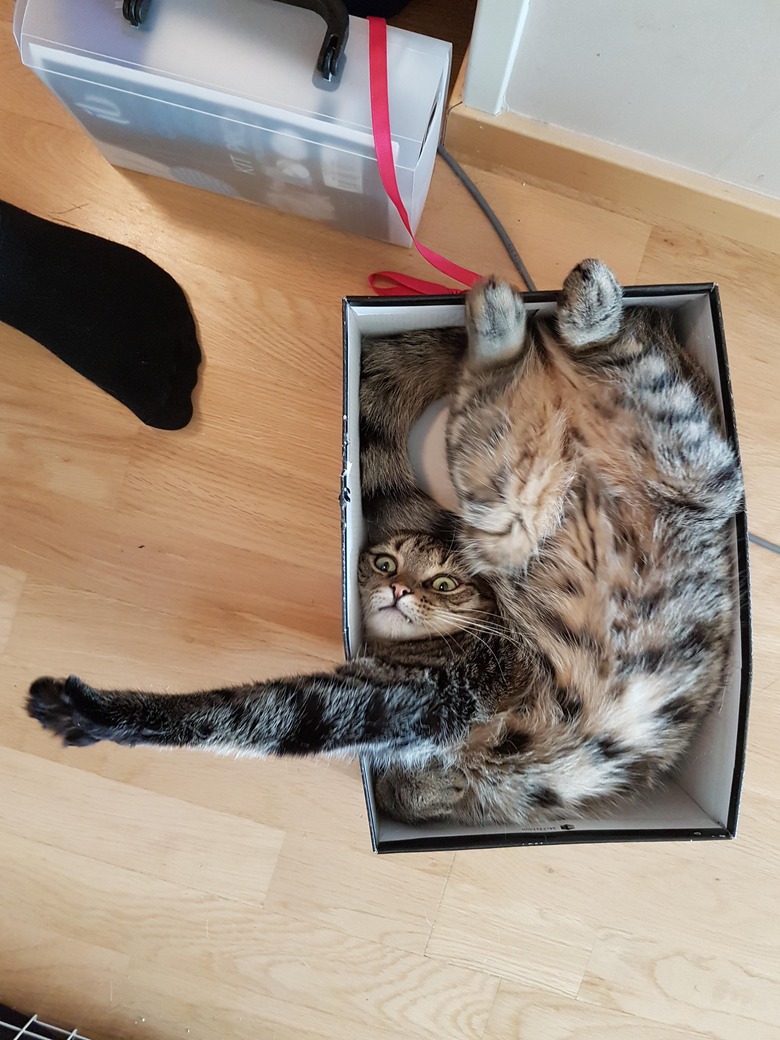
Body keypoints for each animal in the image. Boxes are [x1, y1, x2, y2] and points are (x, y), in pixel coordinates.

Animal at [26, 262, 744, 827]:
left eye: (444, 584)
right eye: (383, 561)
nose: (398, 588)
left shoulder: (426, 693)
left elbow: (257, 712)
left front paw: (100, 712)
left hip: (688, 460)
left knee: (617, 357)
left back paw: (581, 310)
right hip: (504, 487)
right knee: (496, 387)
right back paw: (504, 320)